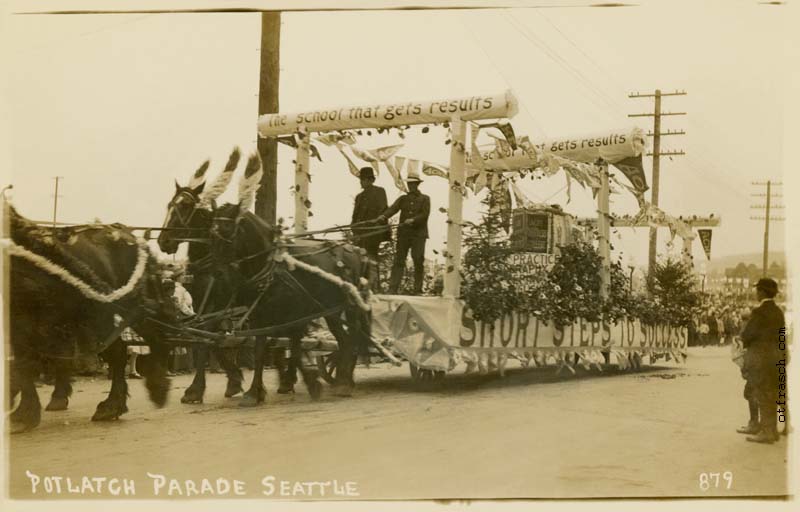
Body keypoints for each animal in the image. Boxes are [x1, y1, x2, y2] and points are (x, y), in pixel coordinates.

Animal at [6, 204, 172, 432]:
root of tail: (130, 234)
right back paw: (112, 404)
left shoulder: (32, 320)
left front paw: (23, 413)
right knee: (119, 350)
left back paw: (154, 388)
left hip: (121, 309)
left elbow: (26, 362)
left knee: (151, 335)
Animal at [205, 201, 370, 404]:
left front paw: (310, 384)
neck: (272, 267)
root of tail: (356, 250)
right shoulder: (261, 315)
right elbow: (263, 351)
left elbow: (294, 349)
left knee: (351, 339)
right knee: (344, 340)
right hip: (330, 310)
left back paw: (344, 382)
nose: (218, 274)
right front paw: (255, 392)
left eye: (228, 230)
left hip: (346, 308)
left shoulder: (292, 315)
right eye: (211, 234)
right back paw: (343, 380)